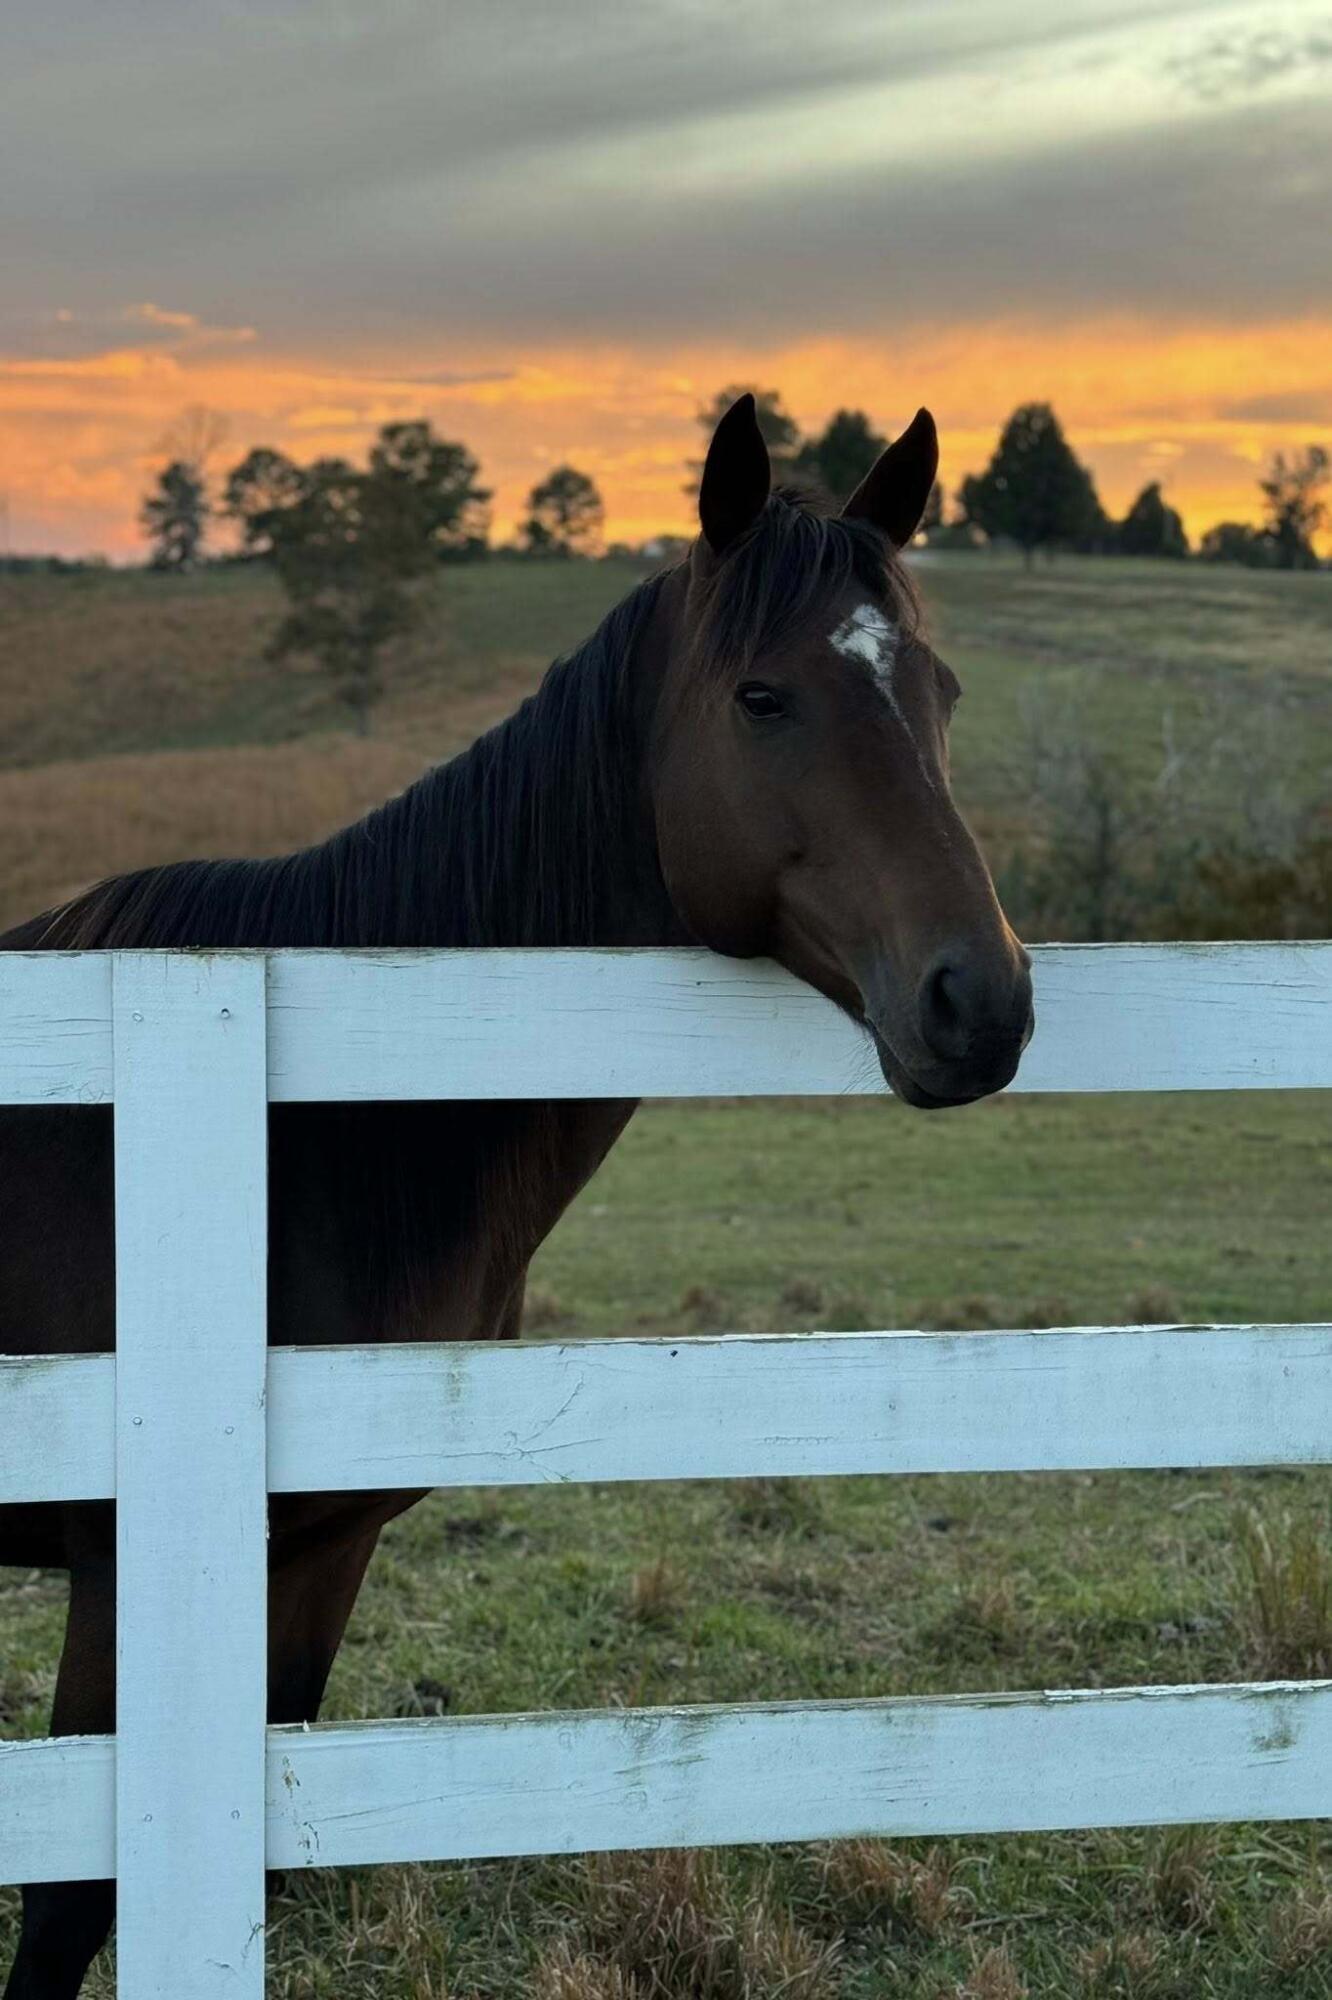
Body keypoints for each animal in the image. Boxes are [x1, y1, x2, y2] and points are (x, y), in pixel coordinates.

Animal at [0, 395, 1033, 1998]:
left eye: (940, 687)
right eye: (763, 697)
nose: (979, 1002)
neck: (310, 1132)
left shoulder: (318, 1549)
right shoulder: (125, 1570)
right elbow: (63, 1906)